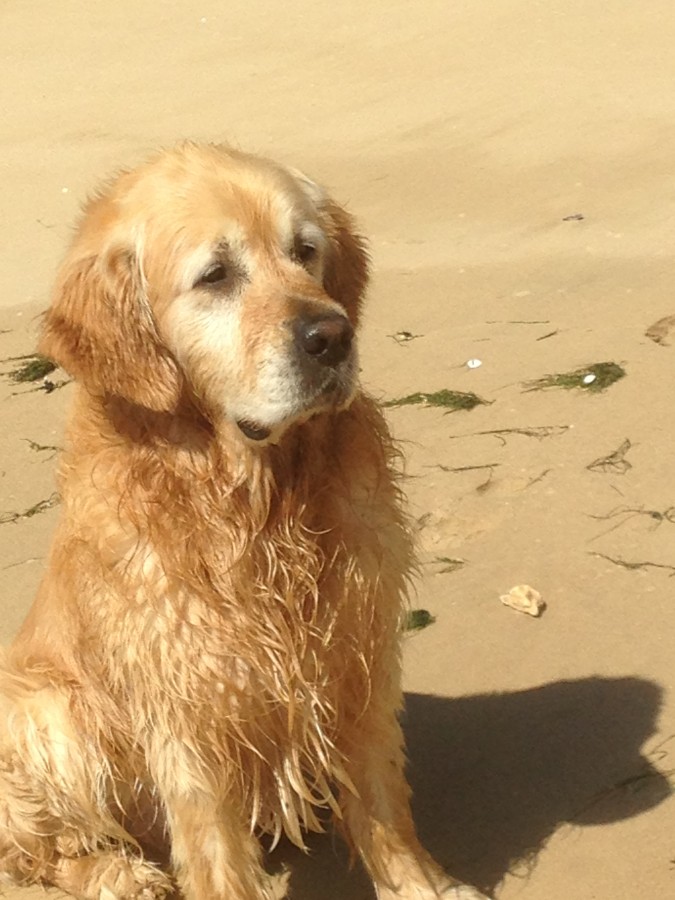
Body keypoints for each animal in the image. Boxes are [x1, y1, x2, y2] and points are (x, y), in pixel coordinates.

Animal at [0, 144, 491, 900]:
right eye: (216, 275)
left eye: (306, 251)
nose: (332, 335)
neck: (256, 506)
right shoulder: (184, 700)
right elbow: (213, 849)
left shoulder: (357, 651)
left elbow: (382, 801)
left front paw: (421, 887)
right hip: (47, 713)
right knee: (42, 849)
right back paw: (119, 873)